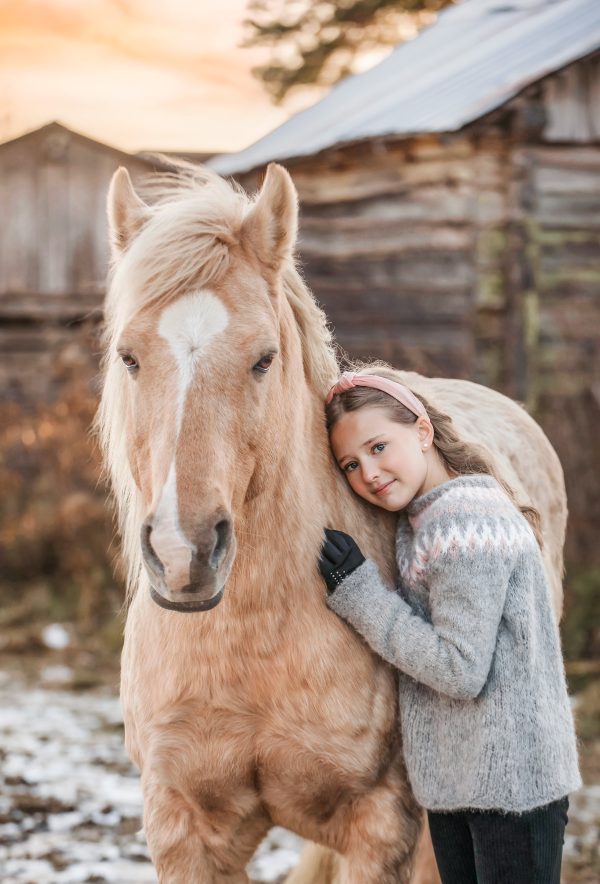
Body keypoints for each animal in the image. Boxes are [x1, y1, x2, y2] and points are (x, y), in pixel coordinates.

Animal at [97, 161, 568, 884]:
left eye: (263, 358)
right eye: (129, 356)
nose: (185, 555)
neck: (253, 640)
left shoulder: (380, 827)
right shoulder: (183, 829)